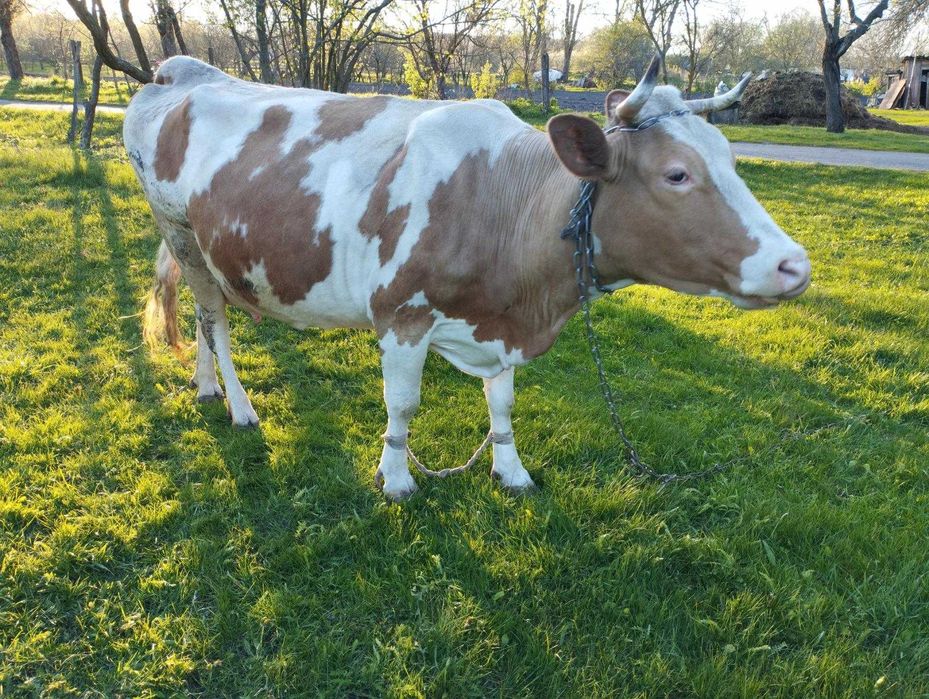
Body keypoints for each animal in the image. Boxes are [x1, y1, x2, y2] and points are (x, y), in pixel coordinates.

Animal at [125, 55, 811, 501]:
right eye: (676, 174)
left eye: (731, 160)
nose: (794, 265)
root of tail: (180, 72)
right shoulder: (401, 314)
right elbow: (402, 404)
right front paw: (397, 478)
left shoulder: (500, 324)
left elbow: (502, 401)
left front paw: (511, 470)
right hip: (181, 232)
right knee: (214, 319)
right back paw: (240, 407)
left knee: (201, 319)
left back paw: (206, 389)